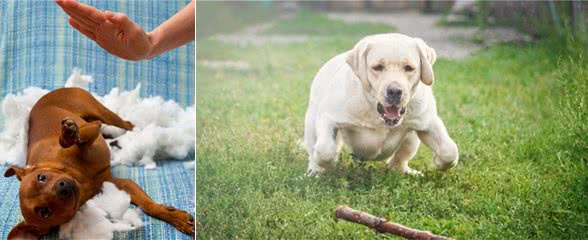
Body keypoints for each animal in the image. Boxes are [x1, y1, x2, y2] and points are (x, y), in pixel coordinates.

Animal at [3, 87, 195, 238]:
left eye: (41, 177)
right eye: (44, 212)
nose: (63, 186)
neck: (81, 178)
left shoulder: (91, 131)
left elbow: (149, 206)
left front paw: (68, 135)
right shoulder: (120, 184)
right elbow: (147, 206)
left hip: (101, 112)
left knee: (124, 123)